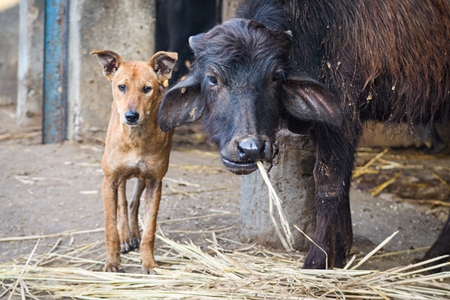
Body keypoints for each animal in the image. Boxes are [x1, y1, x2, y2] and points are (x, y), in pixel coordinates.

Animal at [91, 49, 178, 274]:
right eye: (122, 87)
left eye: (147, 89)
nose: (131, 116)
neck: (136, 138)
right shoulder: (109, 180)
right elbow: (110, 227)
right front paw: (112, 262)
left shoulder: (155, 182)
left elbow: (150, 229)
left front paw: (149, 263)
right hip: (119, 178)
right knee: (122, 204)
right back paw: (125, 238)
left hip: (141, 179)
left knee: (132, 203)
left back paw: (134, 235)